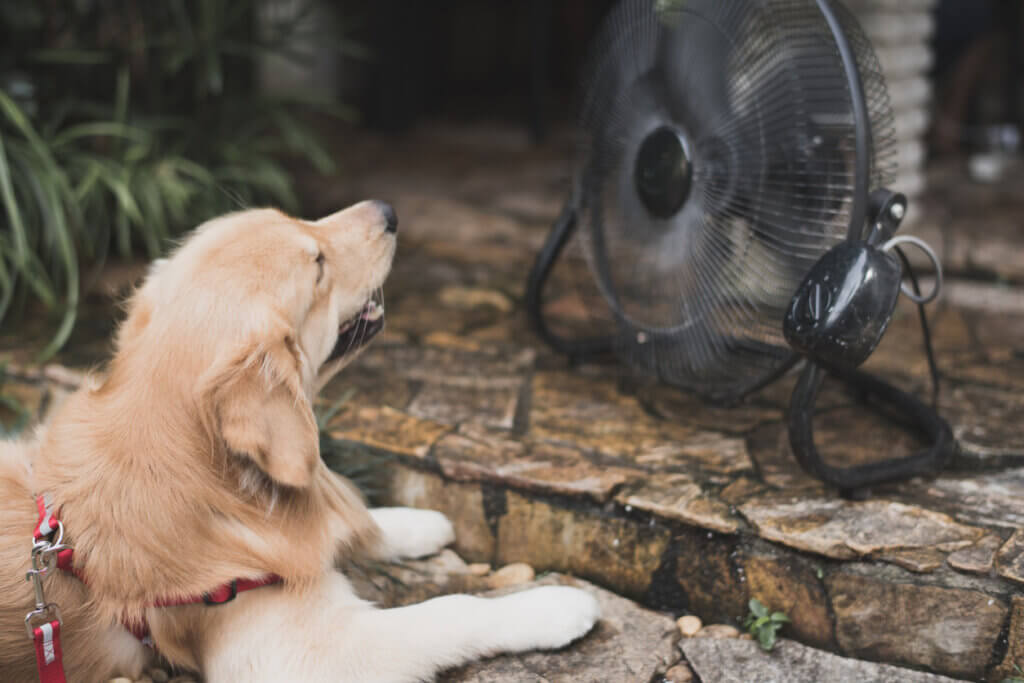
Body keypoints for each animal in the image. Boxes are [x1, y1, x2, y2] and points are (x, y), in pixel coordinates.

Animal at [0, 202, 598, 683]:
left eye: (296, 218)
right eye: (318, 266)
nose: (388, 210)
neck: (211, 478)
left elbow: (353, 518)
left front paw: (416, 523)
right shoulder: (302, 652)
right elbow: (451, 610)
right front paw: (553, 606)